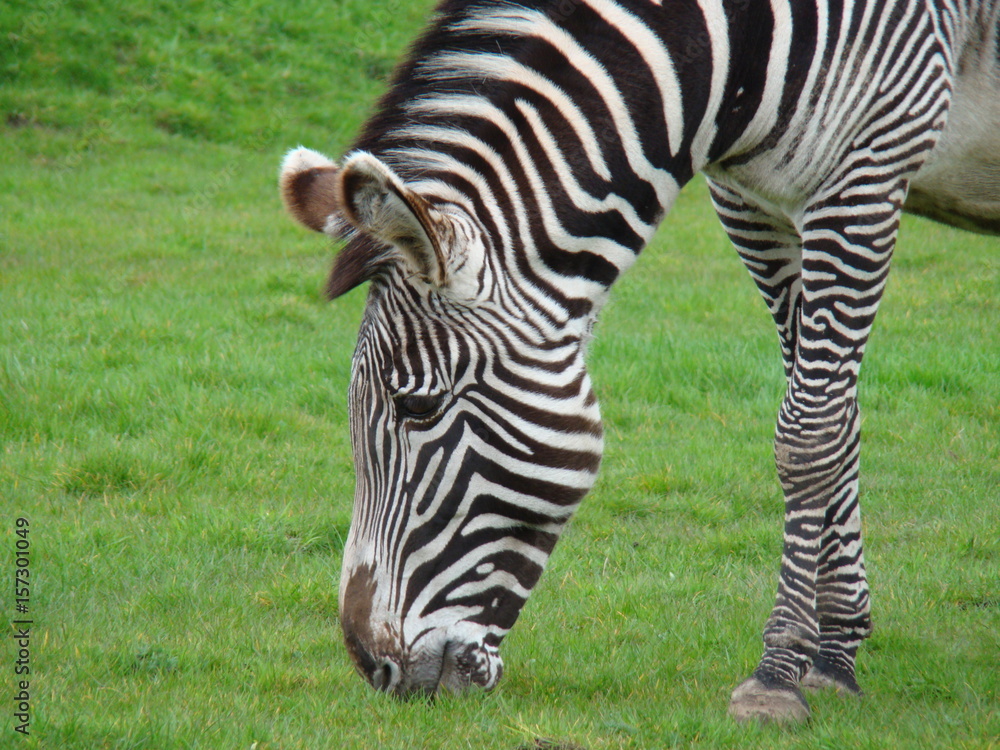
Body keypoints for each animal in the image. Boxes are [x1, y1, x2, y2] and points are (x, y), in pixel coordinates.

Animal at [276, 0, 1000, 724]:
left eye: (418, 405)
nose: (372, 667)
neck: (733, 57)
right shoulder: (751, 201)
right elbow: (834, 412)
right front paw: (836, 650)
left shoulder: (865, 175)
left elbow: (809, 433)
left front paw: (778, 670)